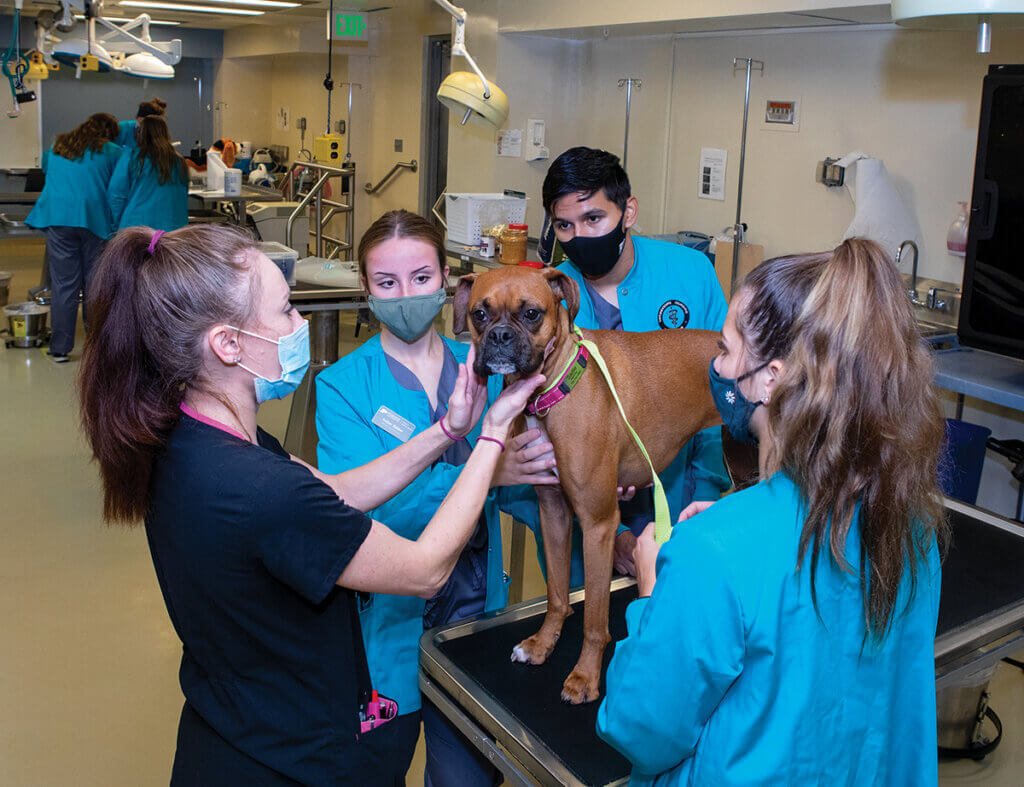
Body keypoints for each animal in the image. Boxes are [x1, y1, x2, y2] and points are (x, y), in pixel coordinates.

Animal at [452, 266, 724, 704]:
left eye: (531, 313)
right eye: (480, 313)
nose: (500, 336)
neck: (553, 389)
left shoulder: (598, 526)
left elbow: (595, 617)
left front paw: (585, 676)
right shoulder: (554, 514)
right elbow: (558, 594)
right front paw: (542, 644)